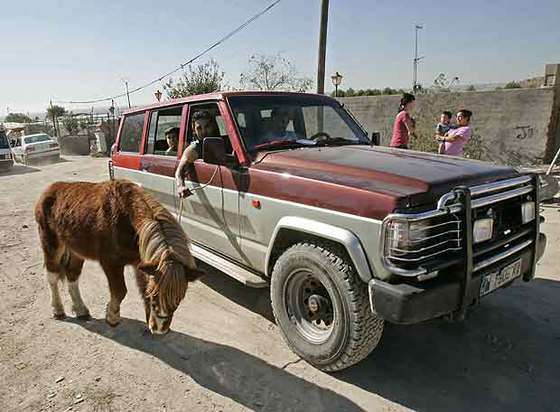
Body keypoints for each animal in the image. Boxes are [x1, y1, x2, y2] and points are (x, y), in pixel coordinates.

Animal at [34, 179, 203, 334]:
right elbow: (120, 291)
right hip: (51, 243)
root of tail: (48, 190)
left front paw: (147, 320)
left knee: (72, 275)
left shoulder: (141, 263)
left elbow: (143, 288)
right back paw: (58, 310)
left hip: (76, 250)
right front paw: (112, 318)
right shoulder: (110, 263)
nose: (160, 329)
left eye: (179, 298)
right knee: (52, 275)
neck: (127, 220)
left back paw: (81, 310)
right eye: (155, 296)